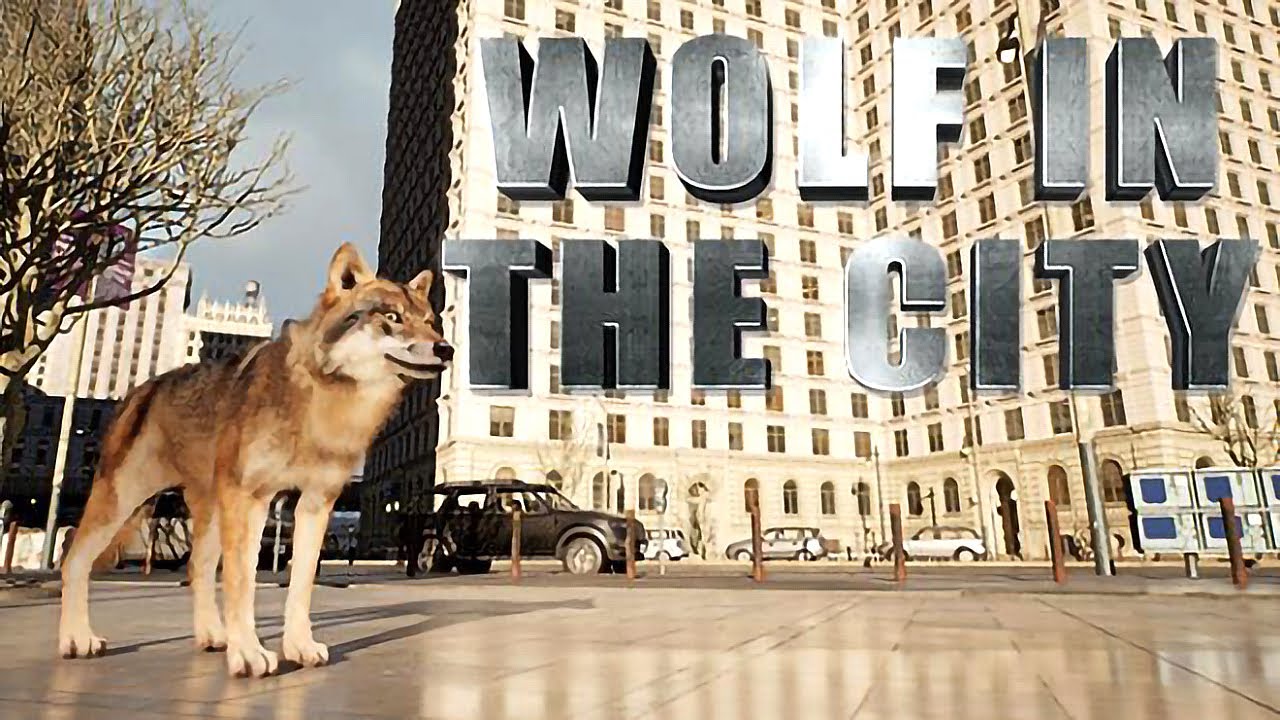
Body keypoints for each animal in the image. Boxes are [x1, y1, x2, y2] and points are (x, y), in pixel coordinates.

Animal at [57, 243, 452, 678]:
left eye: (430, 323)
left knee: (197, 569)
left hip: (210, 513)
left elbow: (300, 585)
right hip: (123, 503)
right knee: (74, 561)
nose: (446, 349)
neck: (323, 398)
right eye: (392, 317)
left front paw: (298, 647)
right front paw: (248, 653)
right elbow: (243, 583)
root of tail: (139, 390)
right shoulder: (252, 499)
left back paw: (213, 637)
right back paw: (77, 639)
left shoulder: (316, 504)